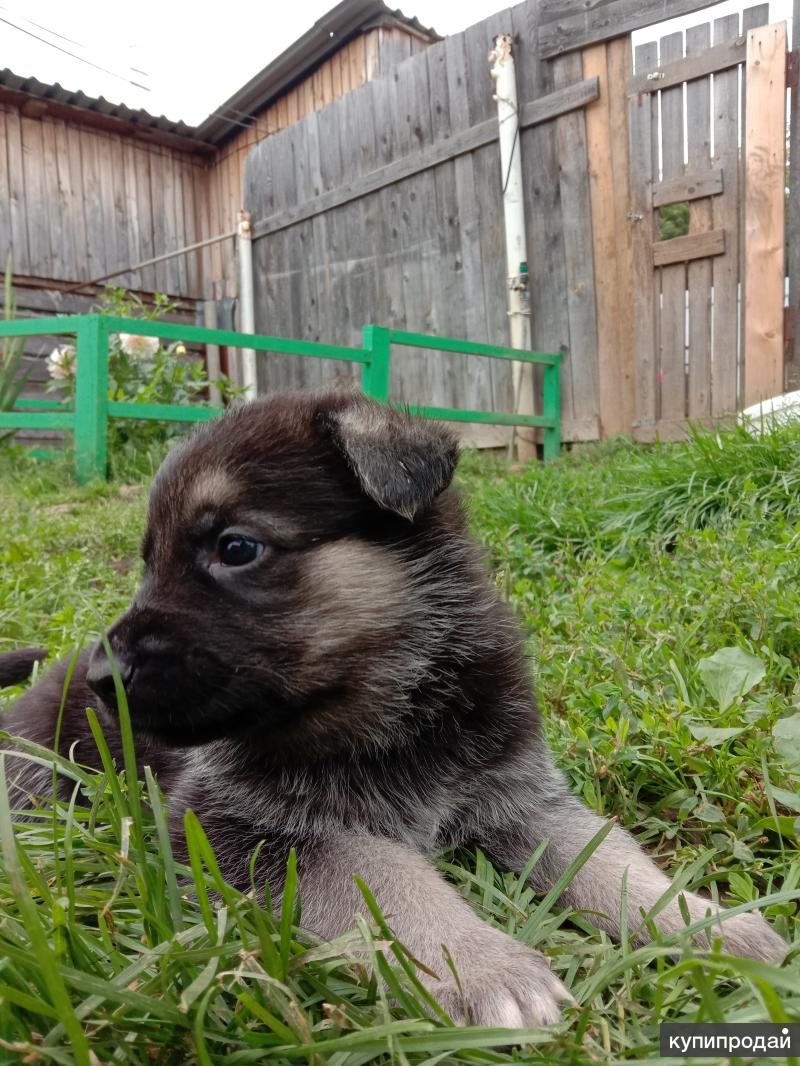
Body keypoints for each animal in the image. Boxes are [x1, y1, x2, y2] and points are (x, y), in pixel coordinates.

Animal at [1, 390, 789, 1023]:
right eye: (149, 562)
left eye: (236, 548)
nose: (104, 674)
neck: (396, 704)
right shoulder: (241, 828)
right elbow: (384, 873)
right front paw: (483, 964)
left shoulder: (522, 799)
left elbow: (612, 859)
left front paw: (707, 922)